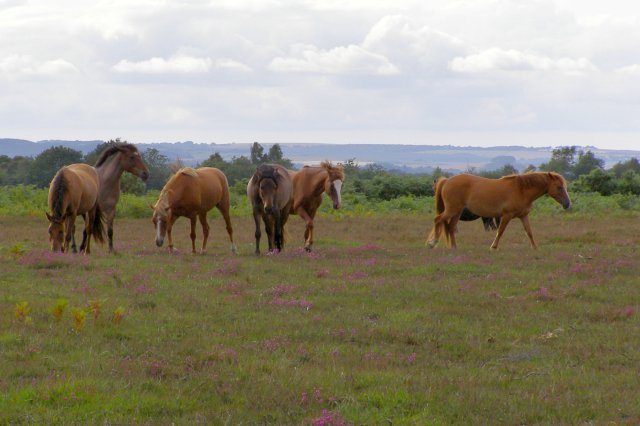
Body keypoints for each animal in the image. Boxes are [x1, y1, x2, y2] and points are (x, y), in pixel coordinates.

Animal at [430, 171, 568, 250]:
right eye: (559, 187)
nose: (567, 204)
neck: (520, 189)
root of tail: (447, 180)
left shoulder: (523, 216)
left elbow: (529, 232)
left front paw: (535, 247)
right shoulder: (506, 216)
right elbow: (500, 231)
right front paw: (493, 246)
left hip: (456, 212)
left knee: (450, 227)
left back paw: (454, 247)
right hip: (451, 210)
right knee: (437, 220)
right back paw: (433, 243)